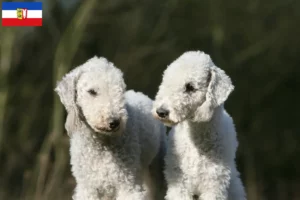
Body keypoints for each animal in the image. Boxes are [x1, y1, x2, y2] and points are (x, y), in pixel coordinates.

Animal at [54, 56, 166, 200]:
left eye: (120, 90)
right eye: (92, 91)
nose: (114, 122)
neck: (102, 143)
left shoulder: (127, 185)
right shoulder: (88, 188)